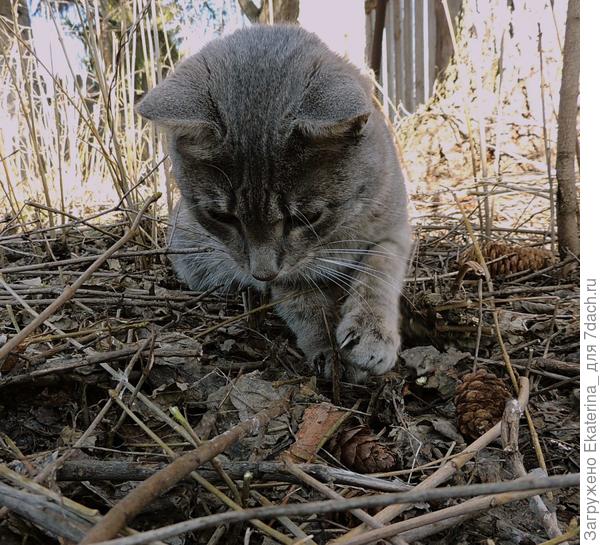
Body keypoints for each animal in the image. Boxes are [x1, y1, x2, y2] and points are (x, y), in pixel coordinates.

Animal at [138, 25, 410, 380]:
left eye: (306, 217)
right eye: (221, 217)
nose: (262, 274)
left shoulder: (395, 226)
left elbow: (380, 267)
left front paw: (371, 332)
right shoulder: (289, 278)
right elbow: (303, 304)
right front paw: (327, 349)